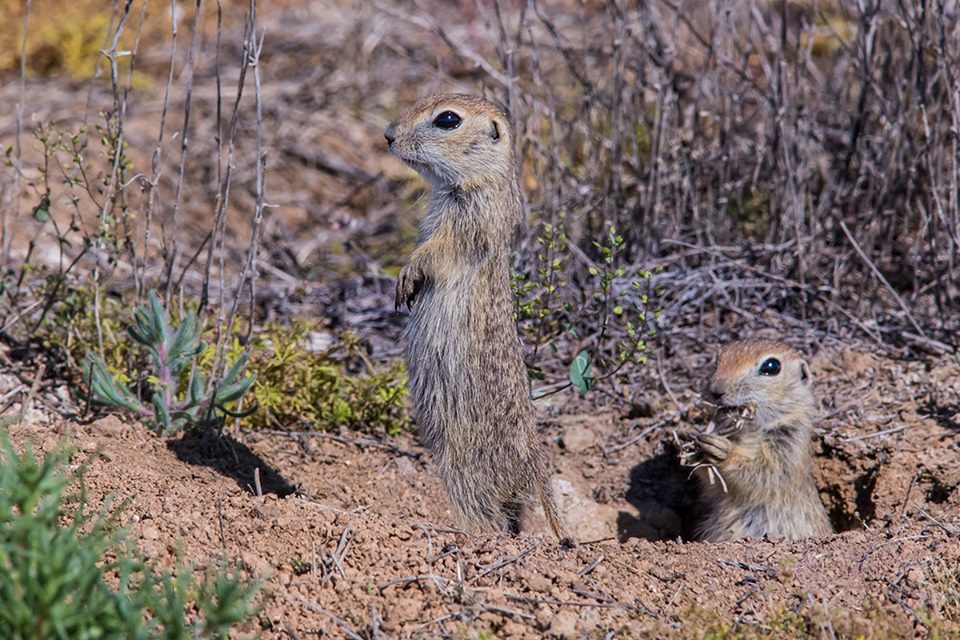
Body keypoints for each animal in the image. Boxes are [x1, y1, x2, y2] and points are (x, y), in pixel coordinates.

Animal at [382, 92, 568, 540]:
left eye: (448, 119)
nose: (388, 135)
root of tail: (535, 464)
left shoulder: (469, 224)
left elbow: (435, 252)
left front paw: (406, 279)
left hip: (463, 468)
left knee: (489, 517)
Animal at [688, 338, 832, 544]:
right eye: (717, 361)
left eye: (771, 366)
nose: (716, 390)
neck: (751, 431)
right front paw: (695, 444)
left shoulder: (789, 444)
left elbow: (766, 472)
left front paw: (722, 450)